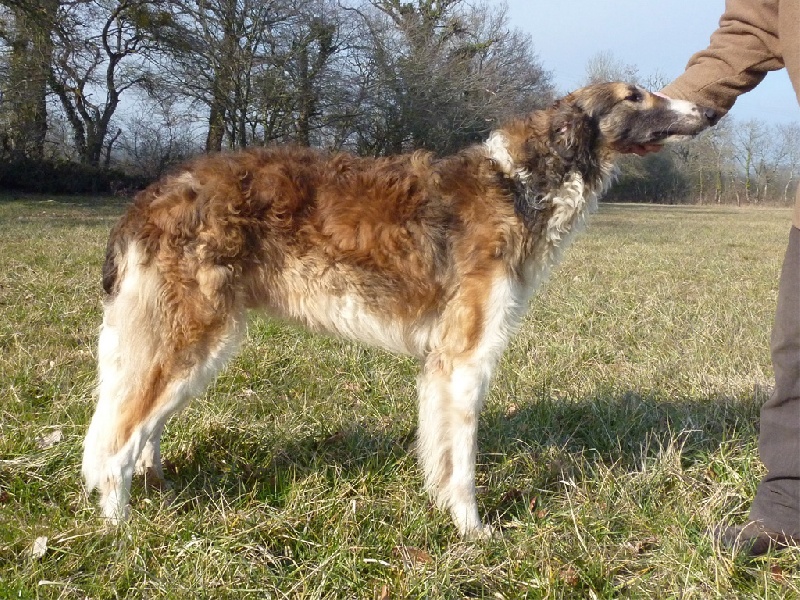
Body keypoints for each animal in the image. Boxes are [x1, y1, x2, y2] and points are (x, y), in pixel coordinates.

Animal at [81, 82, 716, 536]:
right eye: (634, 95)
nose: (708, 111)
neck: (519, 183)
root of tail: (149, 197)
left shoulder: (440, 365)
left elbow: (439, 453)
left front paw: (442, 512)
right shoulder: (466, 356)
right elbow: (462, 463)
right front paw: (475, 534)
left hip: (190, 345)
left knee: (141, 431)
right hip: (189, 337)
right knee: (114, 442)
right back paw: (122, 530)